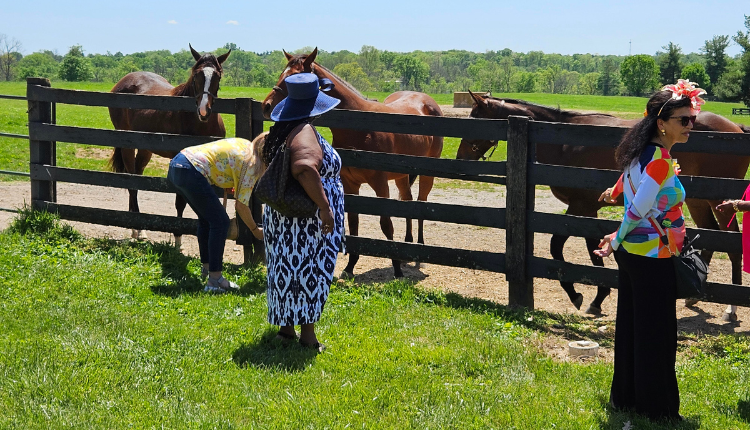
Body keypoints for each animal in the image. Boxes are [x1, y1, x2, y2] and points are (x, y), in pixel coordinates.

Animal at [108, 45, 231, 247]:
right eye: (196, 75)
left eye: (218, 76)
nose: (203, 110)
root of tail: (124, 81)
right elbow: (180, 201)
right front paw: (178, 239)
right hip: (127, 146)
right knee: (132, 183)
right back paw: (137, 229)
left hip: (145, 149)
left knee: (137, 178)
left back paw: (137, 225)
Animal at [262, 48, 444, 278]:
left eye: (293, 78)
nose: (266, 106)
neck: (358, 126)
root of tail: (428, 102)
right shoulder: (350, 184)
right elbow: (354, 222)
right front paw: (351, 266)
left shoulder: (380, 184)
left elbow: (386, 224)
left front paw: (395, 268)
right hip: (402, 176)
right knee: (408, 202)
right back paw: (407, 245)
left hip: (427, 173)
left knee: (421, 202)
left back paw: (418, 247)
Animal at [456, 92, 748, 314]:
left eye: (474, 121)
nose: (460, 160)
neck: (563, 140)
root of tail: (736, 128)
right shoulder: (586, 209)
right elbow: (588, 247)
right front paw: (595, 297)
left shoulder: (580, 207)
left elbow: (558, 246)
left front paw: (581, 295)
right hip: (698, 201)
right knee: (711, 238)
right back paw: (694, 296)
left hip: (721, 202)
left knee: (733, 244)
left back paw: (731, 308)